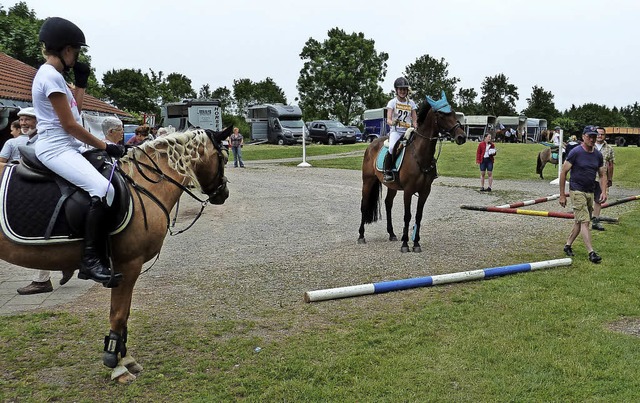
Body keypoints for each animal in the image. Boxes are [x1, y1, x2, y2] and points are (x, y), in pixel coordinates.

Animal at [0, 128, 231, 384]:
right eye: (224, 158)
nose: (224, 193)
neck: (143, 187)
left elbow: (125, 314)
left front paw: (125, 358)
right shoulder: (128, 266)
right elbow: (118, 315)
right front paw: (117, 365)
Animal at [358, 92, 468, 252]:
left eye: (453, 113)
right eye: (441, 115)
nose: (462, 137)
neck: (420, 155)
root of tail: (371, 145)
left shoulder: (425, 191)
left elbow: (418, 216)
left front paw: (416, 243)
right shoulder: (408, 190)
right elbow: (407, 216)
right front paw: (405, 244)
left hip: (391, 186)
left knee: (388, 204)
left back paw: (391, 234)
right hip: (368, 181)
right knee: (364, 205)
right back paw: (361, 236)